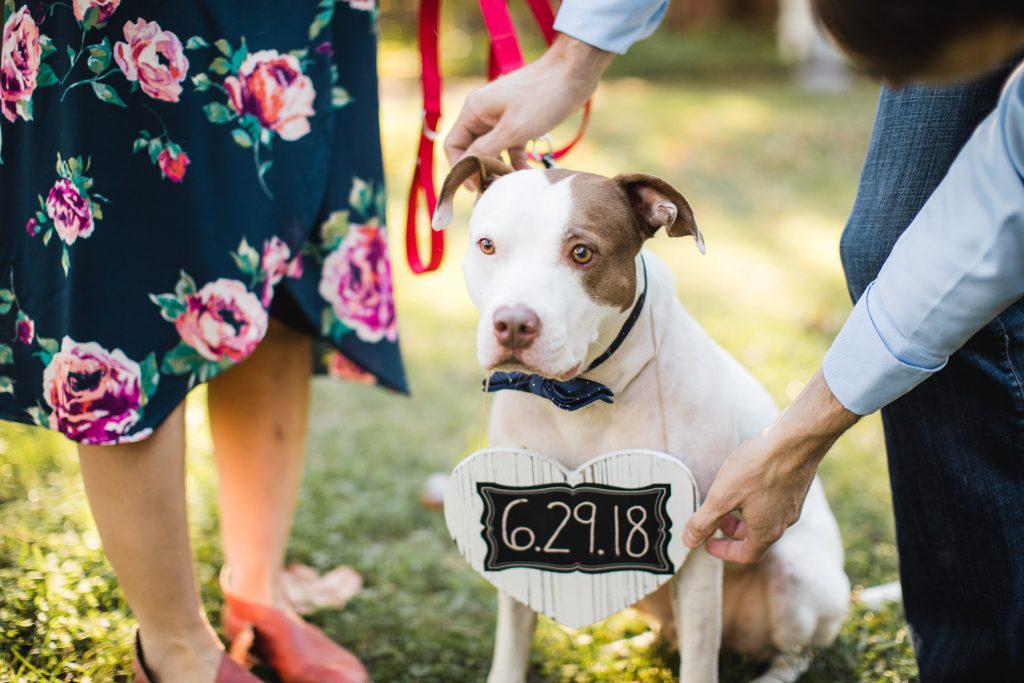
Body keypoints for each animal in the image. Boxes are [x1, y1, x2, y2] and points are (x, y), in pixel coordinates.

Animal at [430, 156, 847, 683]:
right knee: (671, 633)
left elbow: (700, 659)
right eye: (487, 245)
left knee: (790, 654)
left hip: (797, 579)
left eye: (582, 253)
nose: (513, 323)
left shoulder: (697, 551)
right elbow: (511, 642)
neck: (578, 397)